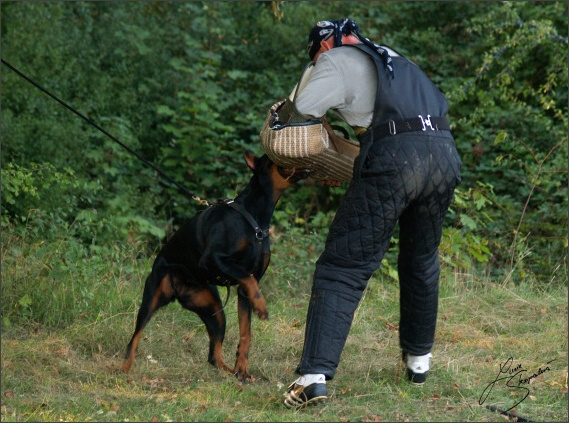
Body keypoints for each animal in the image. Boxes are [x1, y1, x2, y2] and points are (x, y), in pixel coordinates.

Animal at [118, 153, 306, 384]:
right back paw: (125, 369)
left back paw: (230, 371)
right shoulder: (213, 259)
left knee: (213, 356)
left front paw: (242, 371)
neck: (255, 219)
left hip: (214, 311)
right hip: (153, 296)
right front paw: (262, 307)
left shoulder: (243, 292)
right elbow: (248, 278)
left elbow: (246, 333)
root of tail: (180, 292)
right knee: (135, 337)